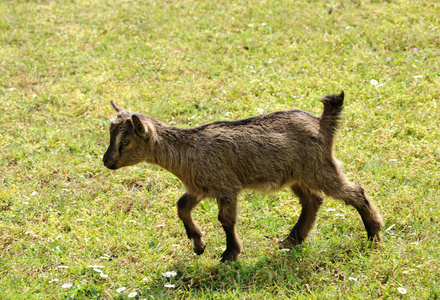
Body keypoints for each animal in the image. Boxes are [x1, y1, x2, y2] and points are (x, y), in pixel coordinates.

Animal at [102, 91, 382, 260]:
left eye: (125, 141)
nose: (107, 161)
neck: (189, 149)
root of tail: (322, 122)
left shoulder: (226, 187)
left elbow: (226, 219)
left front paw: (229, 254)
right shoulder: (200, 188)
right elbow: (181, 206)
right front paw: (199, 244)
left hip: (319, 168)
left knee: (355, 192)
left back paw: (374, 235)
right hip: (297, 175)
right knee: (313, 200)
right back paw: (292, 240)